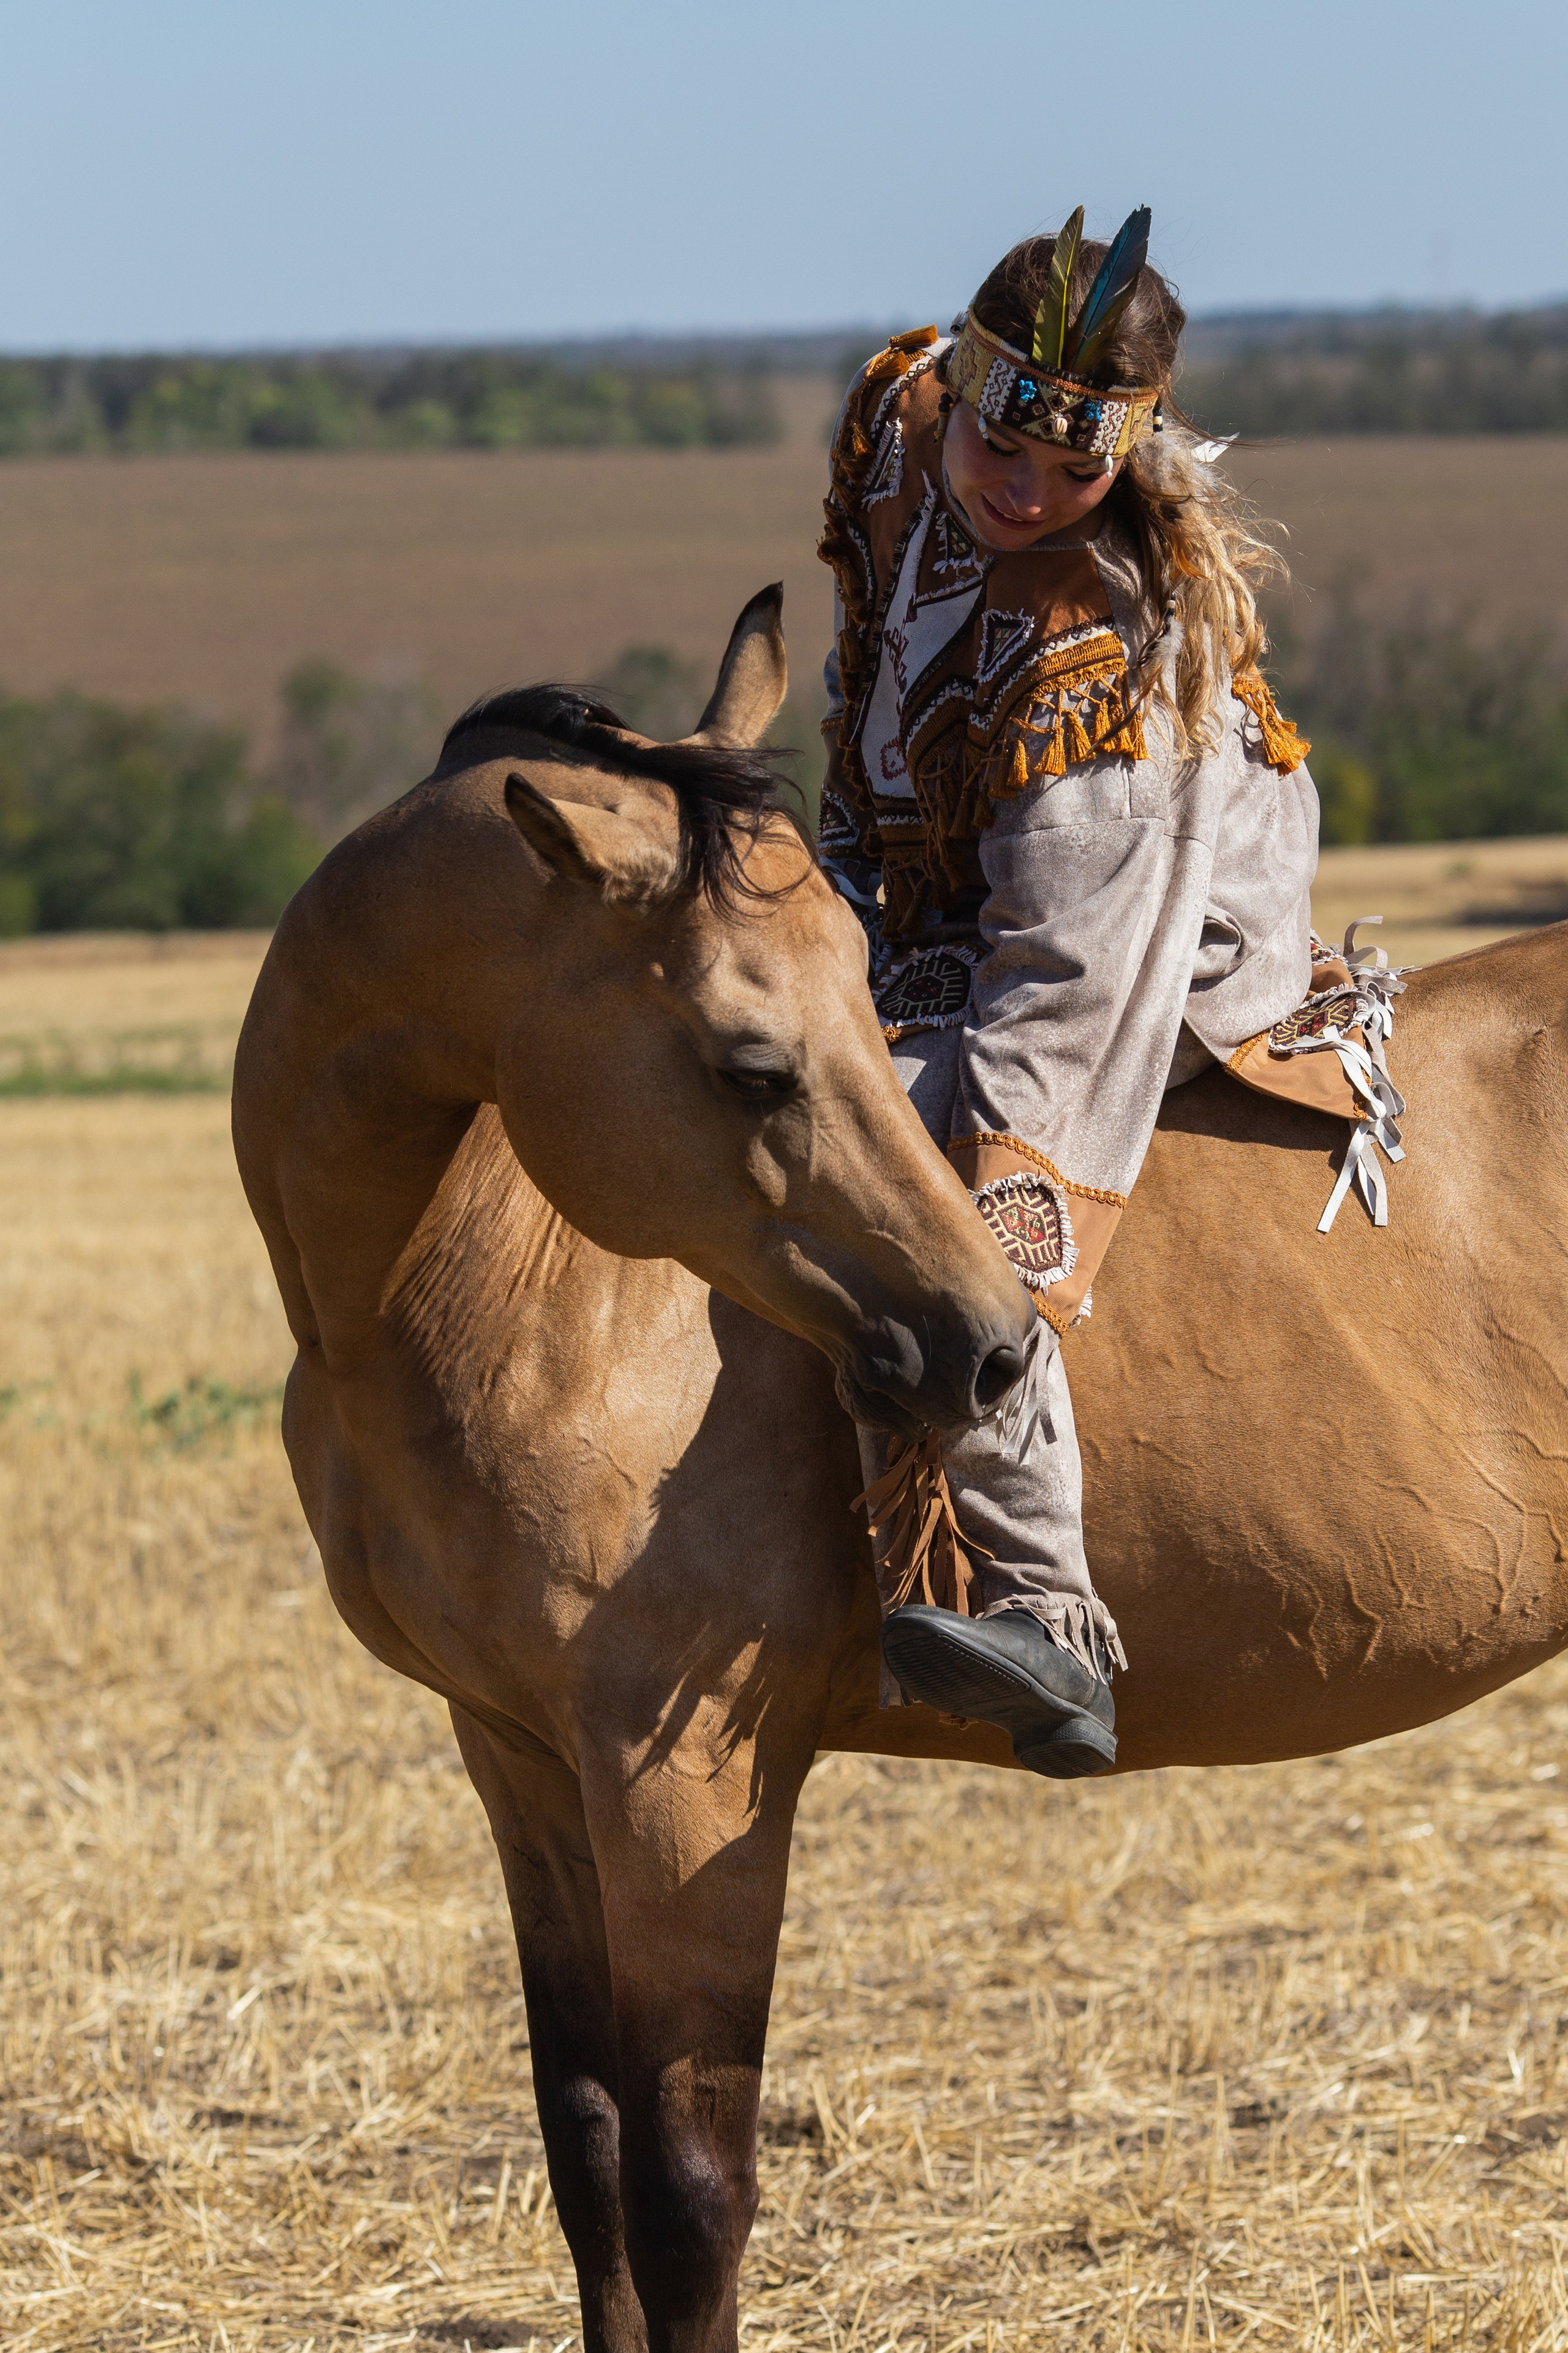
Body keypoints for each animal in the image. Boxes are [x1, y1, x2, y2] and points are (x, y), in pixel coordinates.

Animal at [233, 587, 1568, 2353]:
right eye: (750, 1063)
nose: (993, 1351)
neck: (483, 1277)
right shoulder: (516, 1759)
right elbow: (583, 2154)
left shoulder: (683, 1783)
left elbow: (688, 2194)